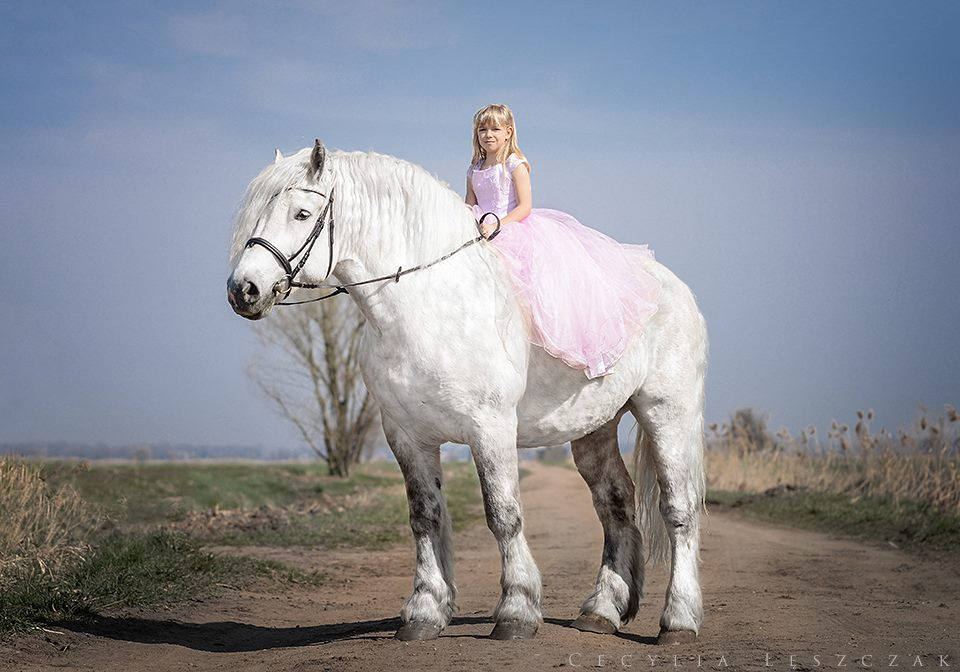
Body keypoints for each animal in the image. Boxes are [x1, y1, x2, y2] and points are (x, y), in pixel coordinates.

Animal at [225, 140, 704, 640]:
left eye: (301, 214)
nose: (244, 290)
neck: (428, 304)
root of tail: (673, 288)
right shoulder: (407, 438)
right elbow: (424, 516)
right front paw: (424, 612)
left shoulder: (489, 428)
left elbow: (503, 514)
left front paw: (516, 612)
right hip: (595, 428)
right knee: (615, 505)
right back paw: (601, 612)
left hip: (667, 414)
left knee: (679, 510)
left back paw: (678, 621)